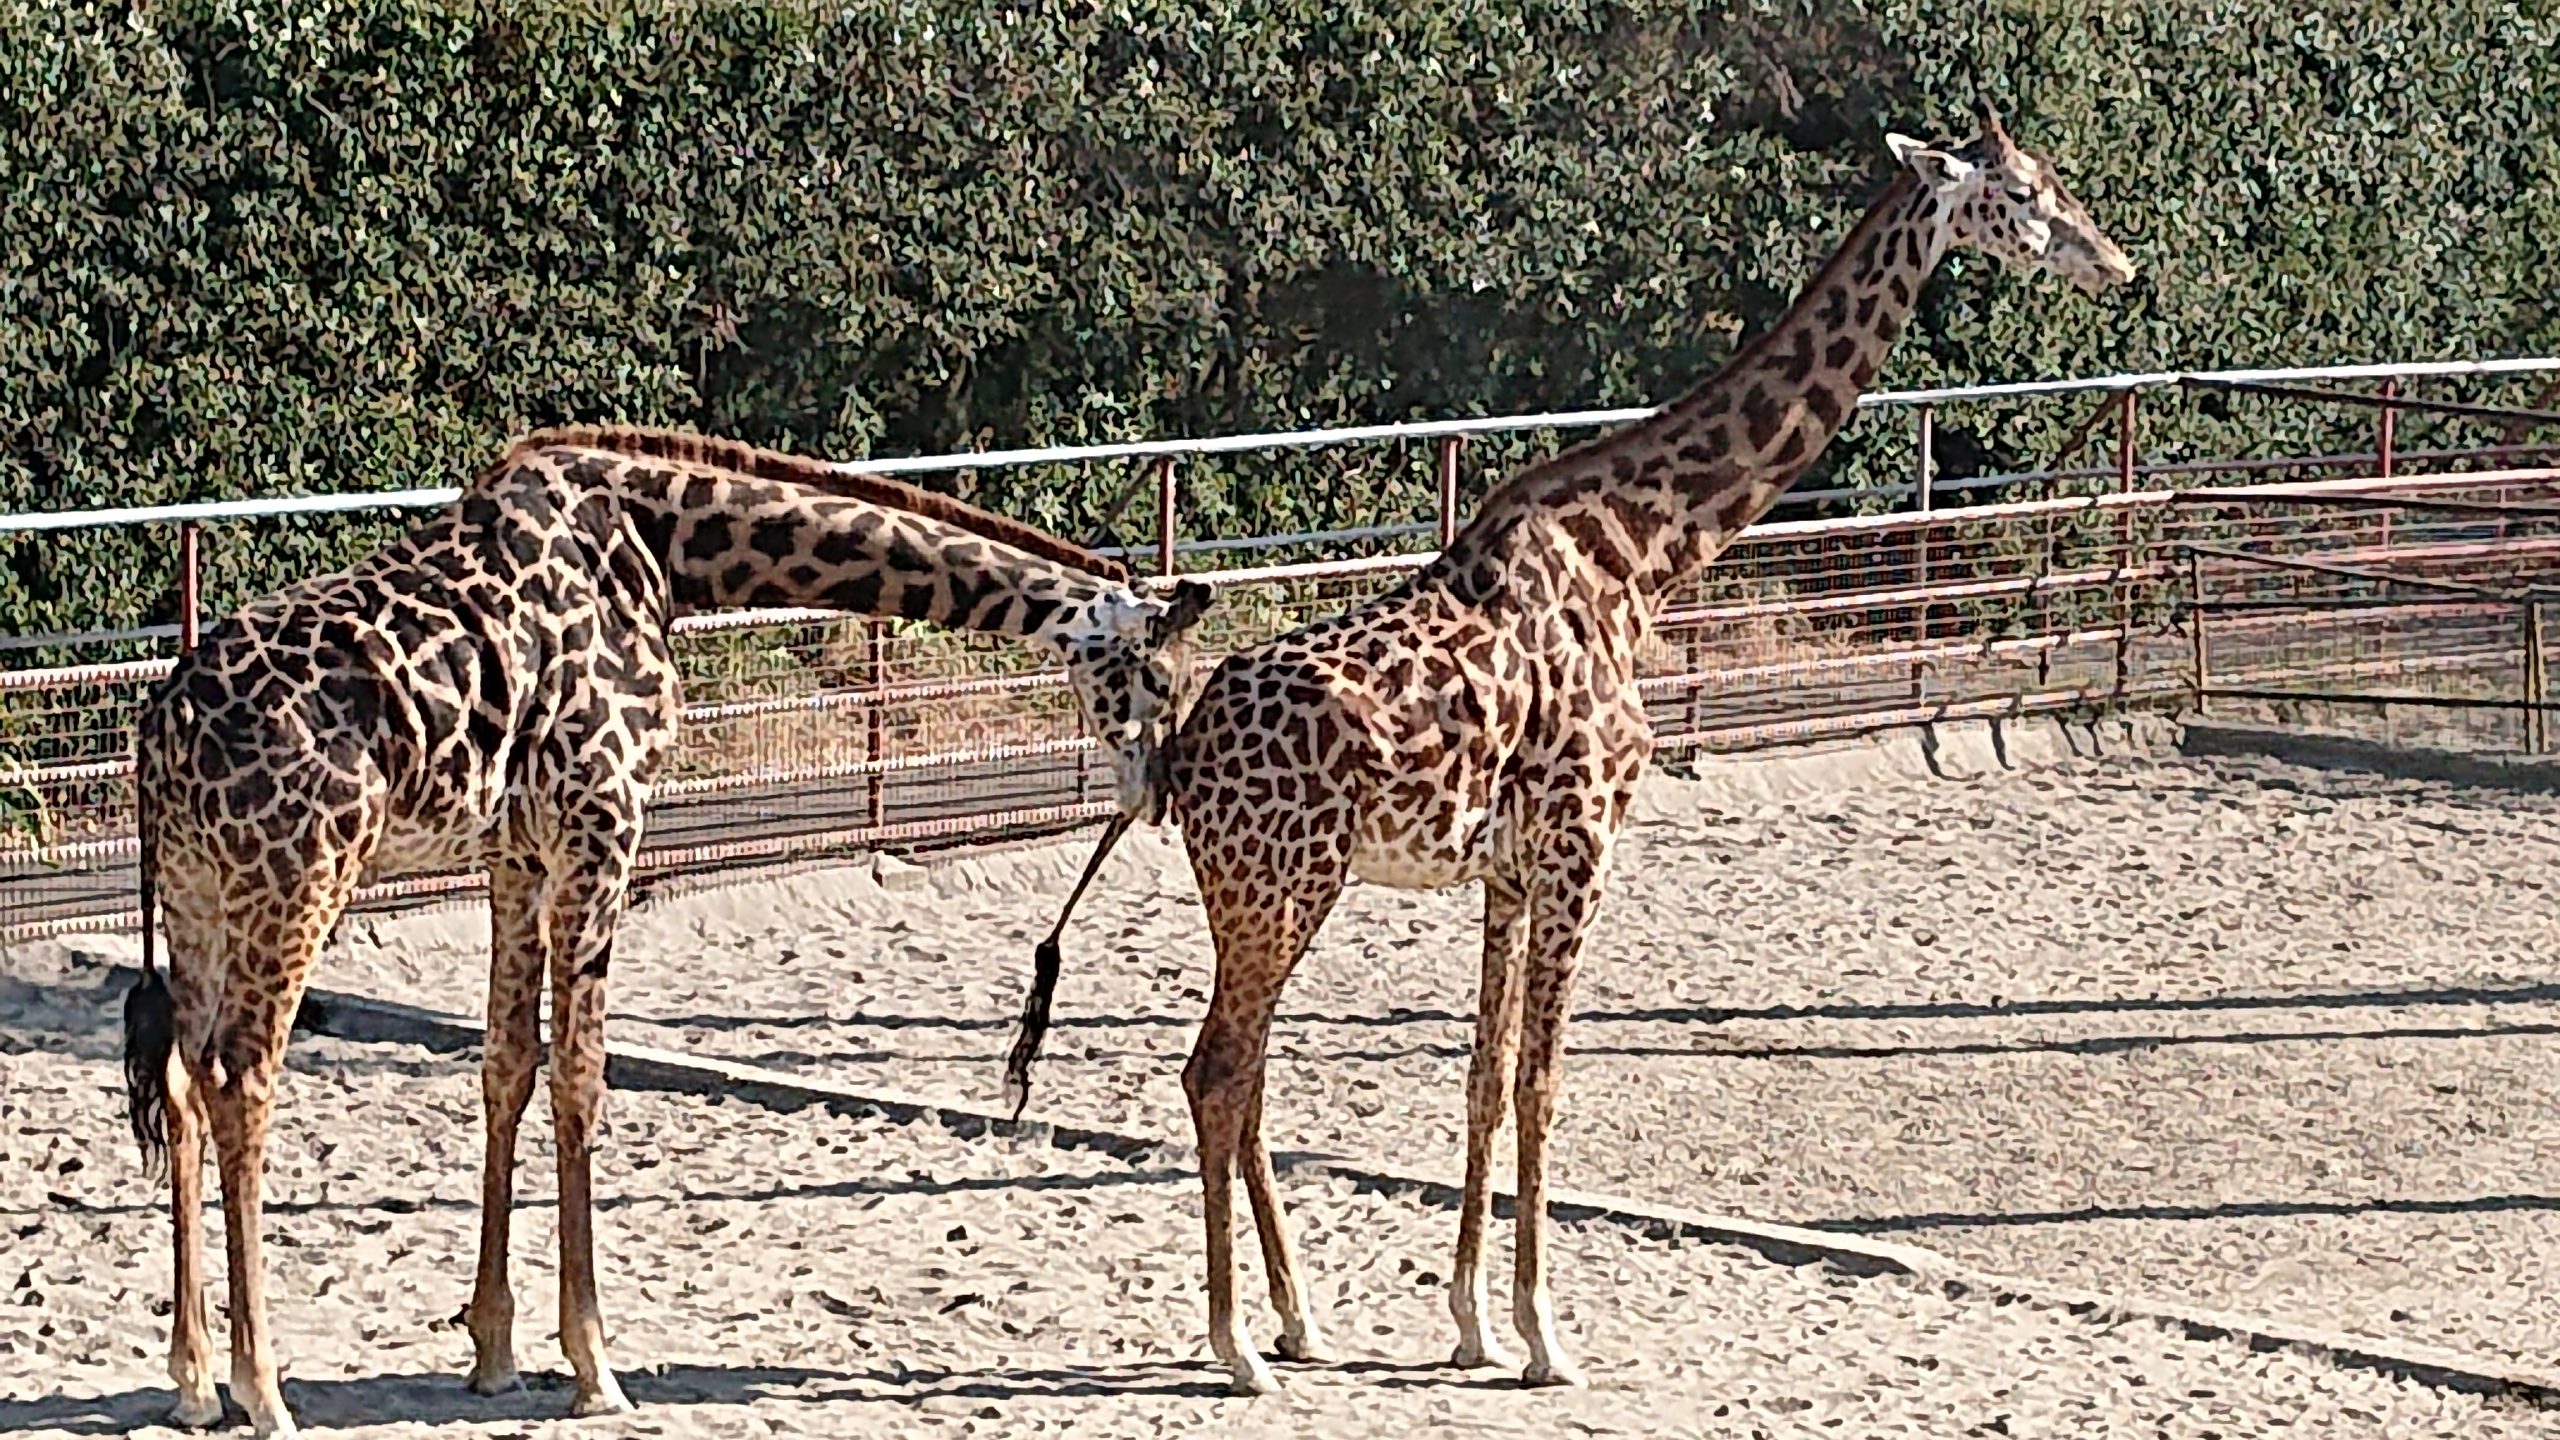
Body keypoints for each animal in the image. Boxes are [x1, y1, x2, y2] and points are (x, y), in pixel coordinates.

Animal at [124, 420, 1223, 1424]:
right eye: (1160, 678)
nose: (1158, 792)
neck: (668, 553)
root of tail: (160, 728)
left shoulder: (517, 851)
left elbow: (506, 1064)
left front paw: (494, 1350)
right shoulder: (606, 818)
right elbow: (582, 1072)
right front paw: (593, 1365)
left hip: (199, 885)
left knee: (180, 1076)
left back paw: (192, 1380)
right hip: (298, 874)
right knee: (243, 1078)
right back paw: (263, 1390)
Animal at [1146, 103, 2140, 1393]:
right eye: (2022, 192)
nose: (2115, 262)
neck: (1640, 561)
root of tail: (1183, 750)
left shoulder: (1507, 869)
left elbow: (1483, 1079)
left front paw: (1469, 1322)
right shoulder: (1585, 839)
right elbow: (1544, 1082)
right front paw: (1543, 1336)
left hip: (1254, 892)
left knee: (1245, 1071)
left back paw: (1295, 1322)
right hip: (1283, 884)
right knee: (1217, 1070)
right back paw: (1236, 1348)